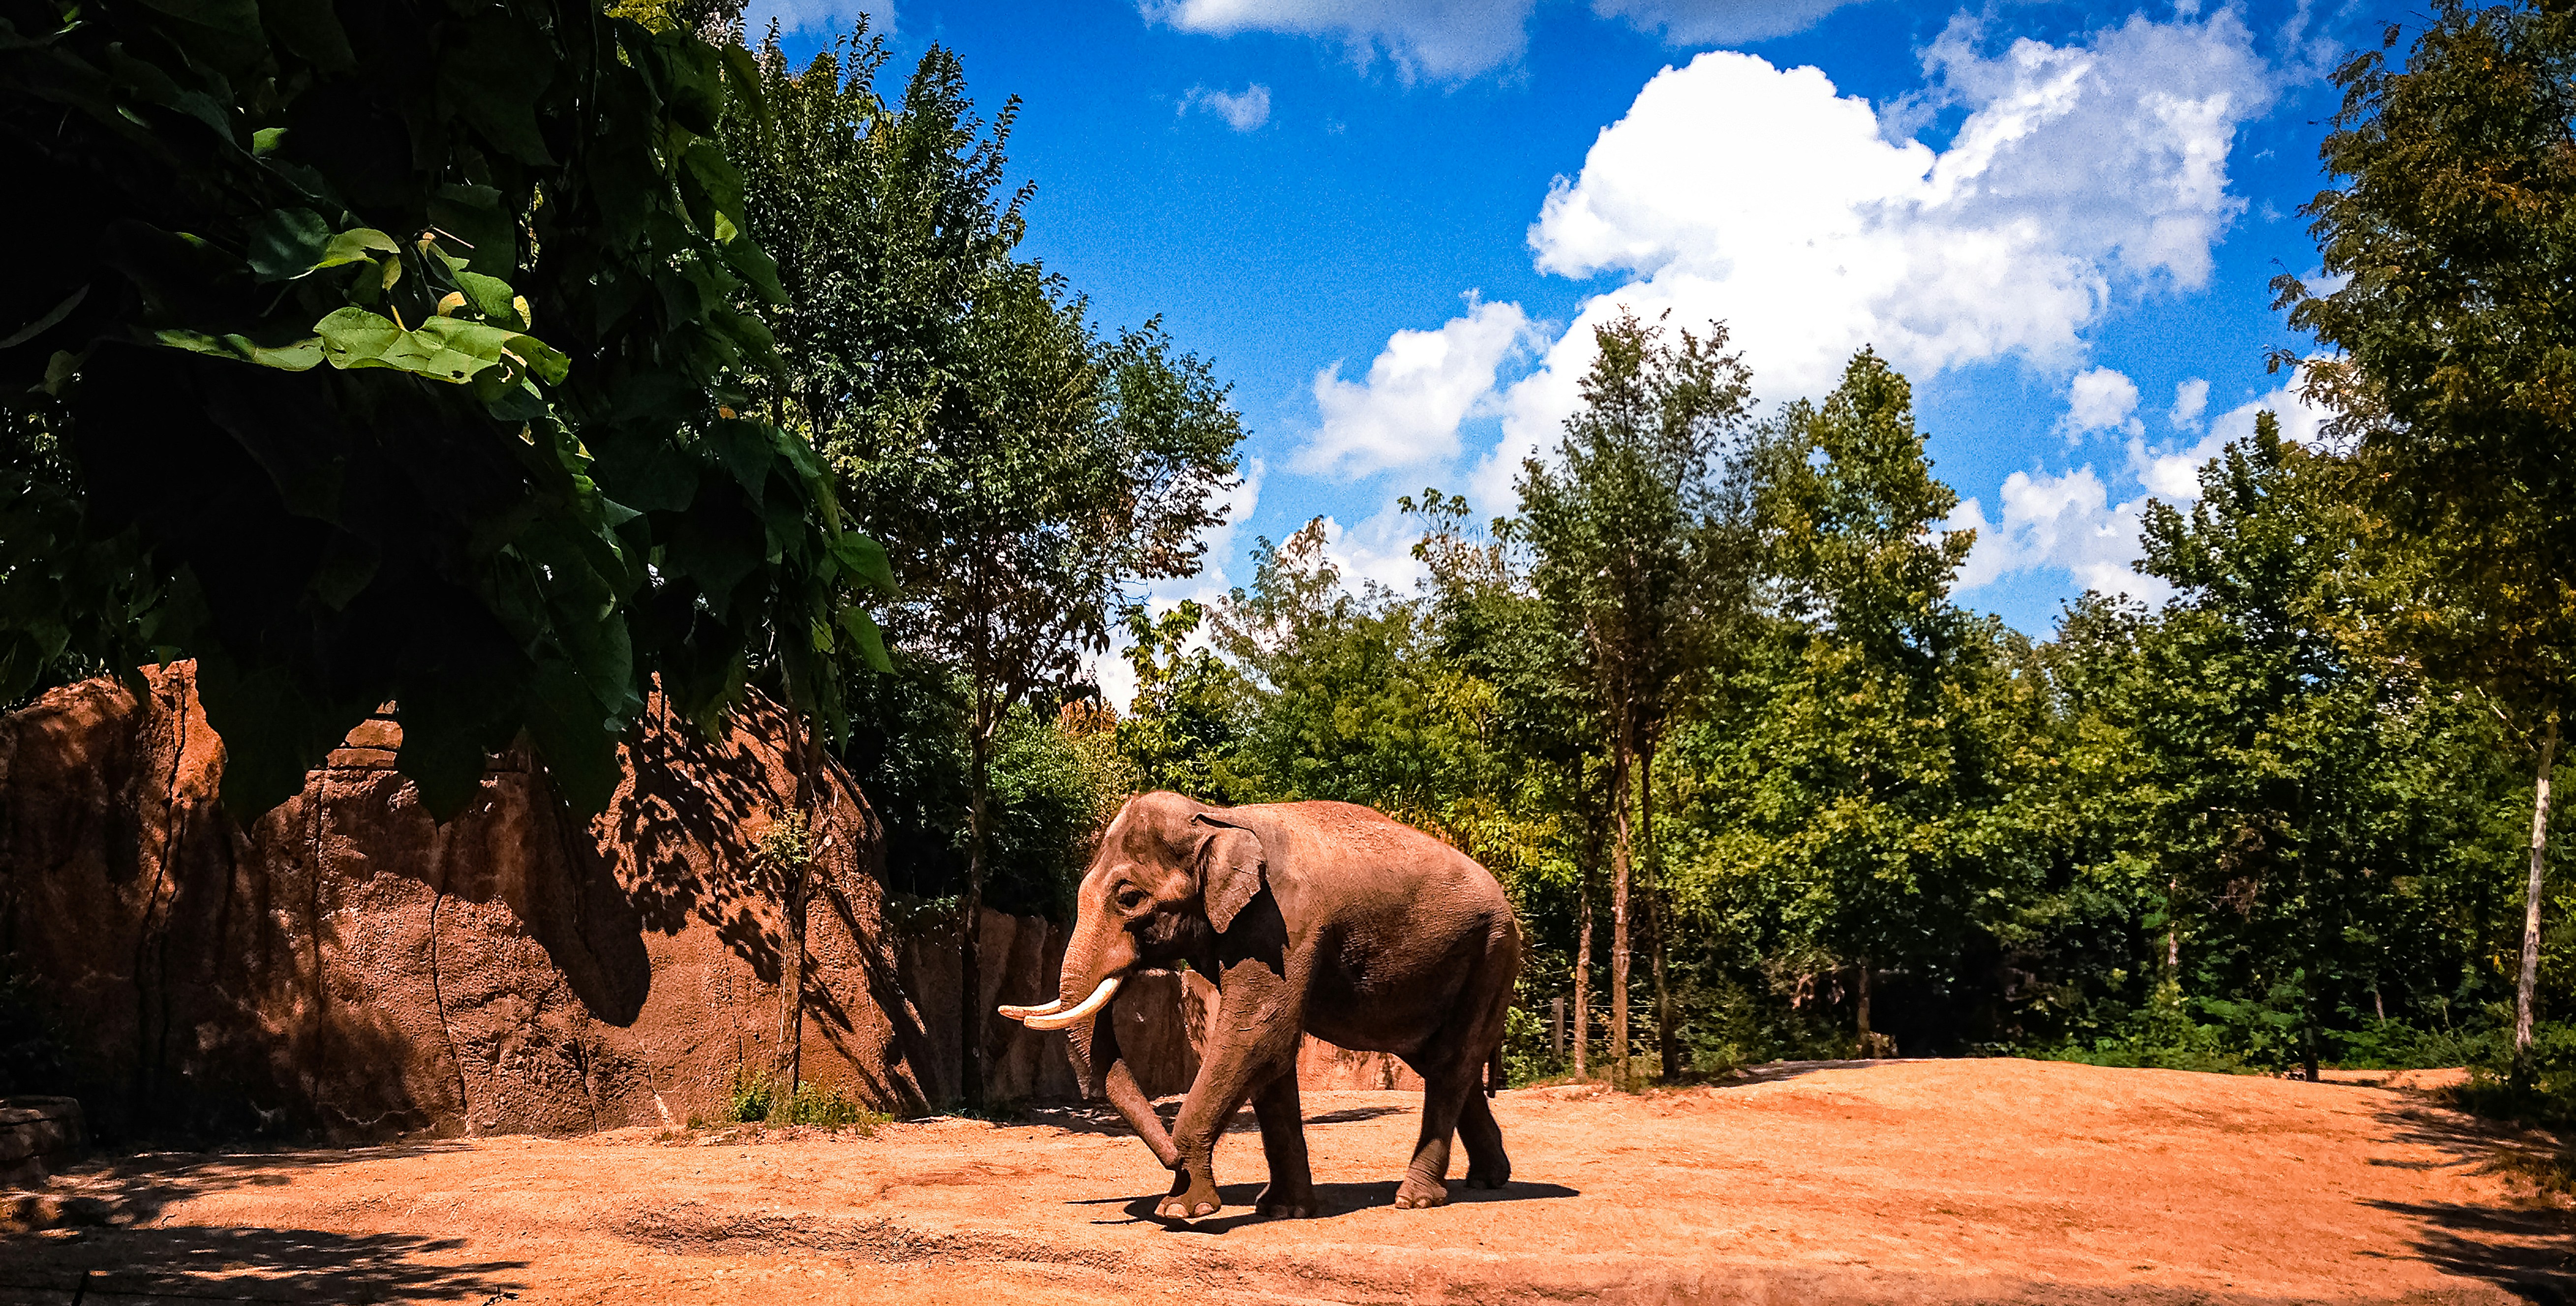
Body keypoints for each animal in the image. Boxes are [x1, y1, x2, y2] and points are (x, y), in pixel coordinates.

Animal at [998, 791, 1522, 1220]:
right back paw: (1488, 1179)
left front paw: (1181, 1209)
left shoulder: (1281, 926)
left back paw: (1416, 1199)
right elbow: (1270, 1060)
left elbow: (1258, 1039)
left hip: (1493, 952)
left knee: (1452, 1062)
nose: (1173, 1159)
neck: (1218, 819)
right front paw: (1281, 1210)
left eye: (1129, 897)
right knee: (1439, 1061)